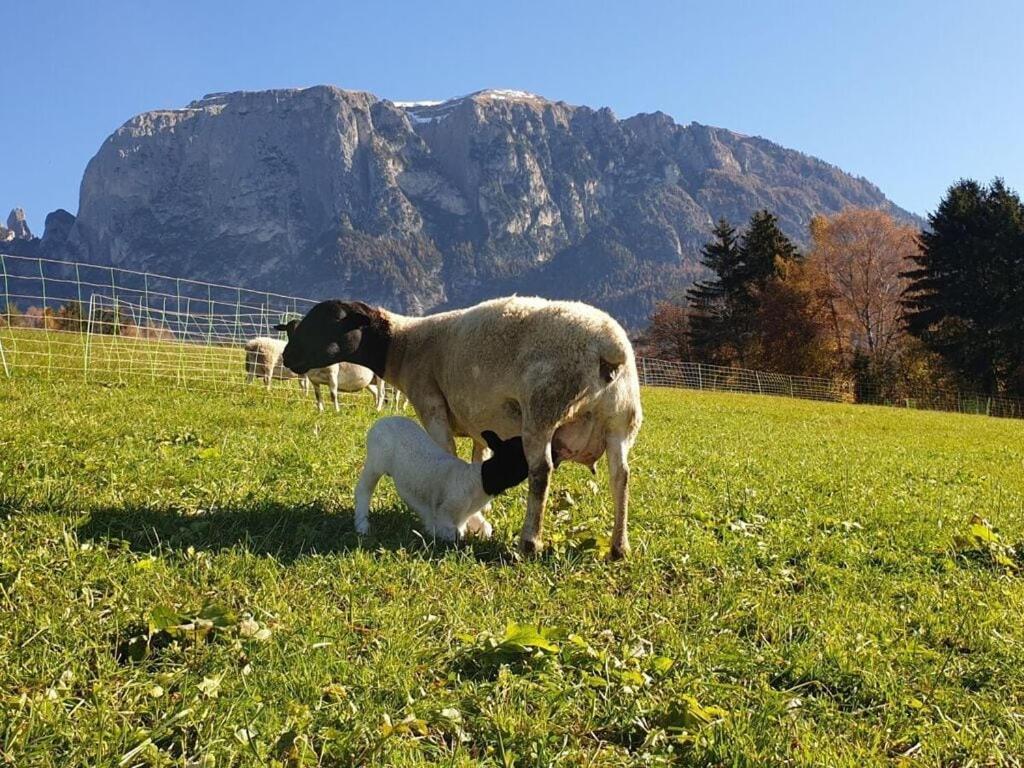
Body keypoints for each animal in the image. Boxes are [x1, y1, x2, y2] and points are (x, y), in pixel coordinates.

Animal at [354, 415, 528, 540]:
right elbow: (454, 535)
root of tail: (381, 421)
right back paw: (362, 525)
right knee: (363, 490)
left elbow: (485, 528)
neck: (480, 479)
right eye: (521, 454)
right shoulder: (445, 513)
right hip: (375, 462)